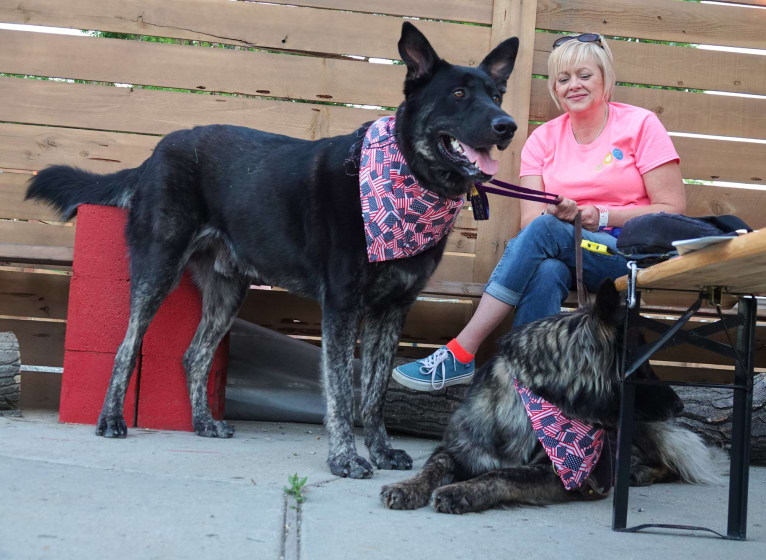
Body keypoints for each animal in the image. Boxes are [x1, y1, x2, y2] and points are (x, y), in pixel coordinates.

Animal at [24, 20, 520, 476]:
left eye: (497, 94)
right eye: (458, 94)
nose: (507, 125)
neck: (410, 179)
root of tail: (153, 155)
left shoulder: (393, 309)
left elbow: (375, 390)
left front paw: (380, 450)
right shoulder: (341, 307)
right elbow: (342, 390)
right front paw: (345, 458)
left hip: (227, 292)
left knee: (194, 354)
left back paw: (204, 423)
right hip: (157, 269)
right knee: (127, 345)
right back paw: (110, 419)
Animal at [384, 282, 728, 516]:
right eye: (640, 366)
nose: (680, 405)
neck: (536, 401)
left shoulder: (562, 475)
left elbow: (503, 473)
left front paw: (459, 492)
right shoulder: (457, 448)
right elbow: (433, 467)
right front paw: (406, 487)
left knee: (668, 462)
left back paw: (639, 472)